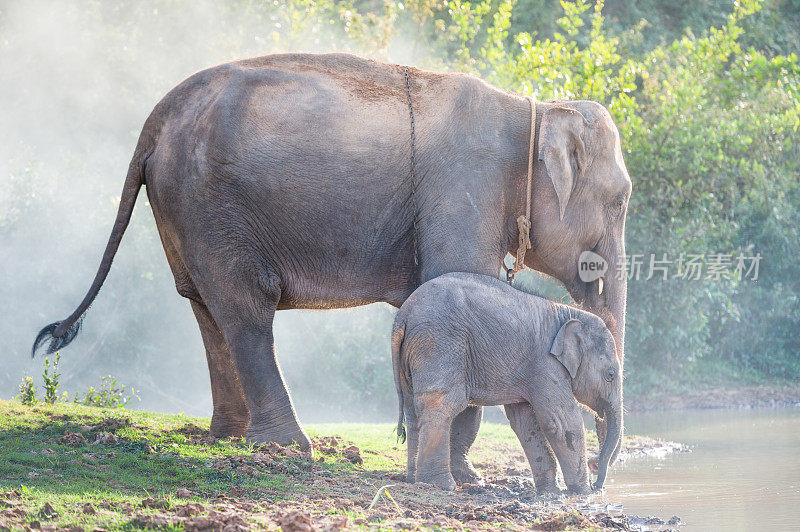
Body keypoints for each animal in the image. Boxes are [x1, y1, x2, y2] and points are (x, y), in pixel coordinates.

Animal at [390, 272, 620, 492]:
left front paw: (551, 493)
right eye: (610, 375)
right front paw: (583, 493)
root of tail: (403, 315)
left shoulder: (527, 368)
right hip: (439, 343)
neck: (569, 313)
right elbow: (562, 423)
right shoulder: (545, 364)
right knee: (443, 405)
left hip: (411, 354)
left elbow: (524, 422)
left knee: (412, 410)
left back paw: (413, 479)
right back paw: (440, 485)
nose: (597, 483)